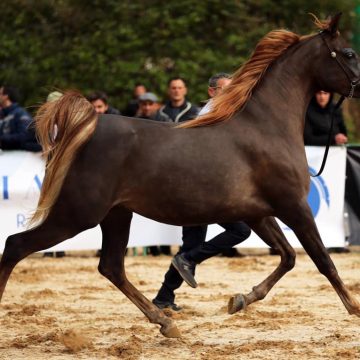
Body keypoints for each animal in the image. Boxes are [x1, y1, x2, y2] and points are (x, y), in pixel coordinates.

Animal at [0, 14, 360, 338]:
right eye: (348, 53)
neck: (266, 126)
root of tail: (91, 126)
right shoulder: (294, 206)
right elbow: (322, 260)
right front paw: (354, 308)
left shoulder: (258, 214)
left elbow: (288, 257)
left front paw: (240, 300)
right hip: (78, 214)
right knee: (16, 245)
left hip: (116, 215)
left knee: (111, 266)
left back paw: (165, 323)